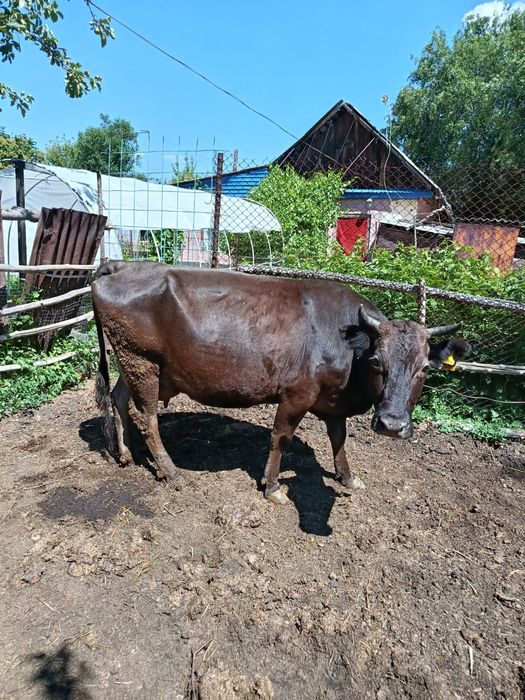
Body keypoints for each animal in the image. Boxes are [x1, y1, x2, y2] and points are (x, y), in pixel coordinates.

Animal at [91, 261, 470, 503]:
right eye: (378, 362)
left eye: (424, 368)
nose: (392, 425)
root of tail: (120, 265)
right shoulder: (296, 394)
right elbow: (281, 438)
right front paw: (272, 486)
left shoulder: (333, 402)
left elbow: (338, 439)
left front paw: (347, 476)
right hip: (142, 361)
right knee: (146, 417)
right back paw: (170, 471)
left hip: (132, 362)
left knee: (119, 400)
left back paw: (125, 454)